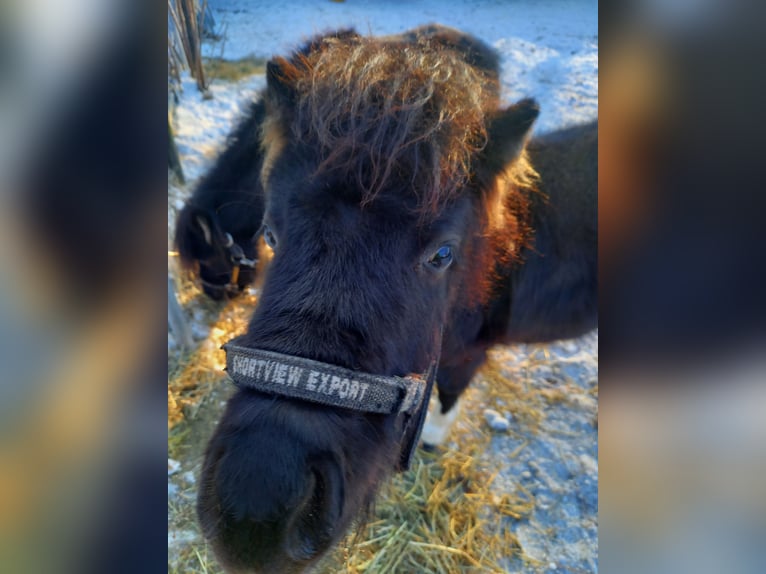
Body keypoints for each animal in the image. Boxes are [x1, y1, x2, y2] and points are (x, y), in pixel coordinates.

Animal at [196, 25, 597, 573]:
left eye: (442, 254)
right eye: (271, 235)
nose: (258, 504)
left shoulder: (466, 355)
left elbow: (447, 395)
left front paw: (432, 441)